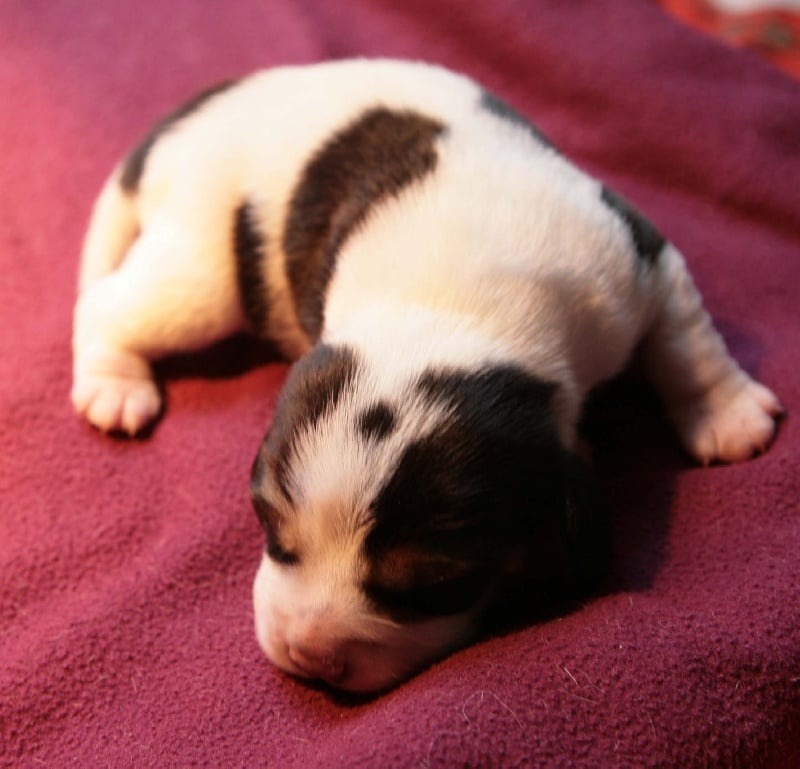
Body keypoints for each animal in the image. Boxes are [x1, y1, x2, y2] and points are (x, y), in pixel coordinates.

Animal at [72, 59, 783, 693]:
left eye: (436, 583)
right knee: (109, 303)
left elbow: (686, 341)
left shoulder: (639, 263)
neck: (451, 309)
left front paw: (728, 415)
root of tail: (191, 117)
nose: (310, 657)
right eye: (271, 526)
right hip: (205, 270)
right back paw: (113, 385)